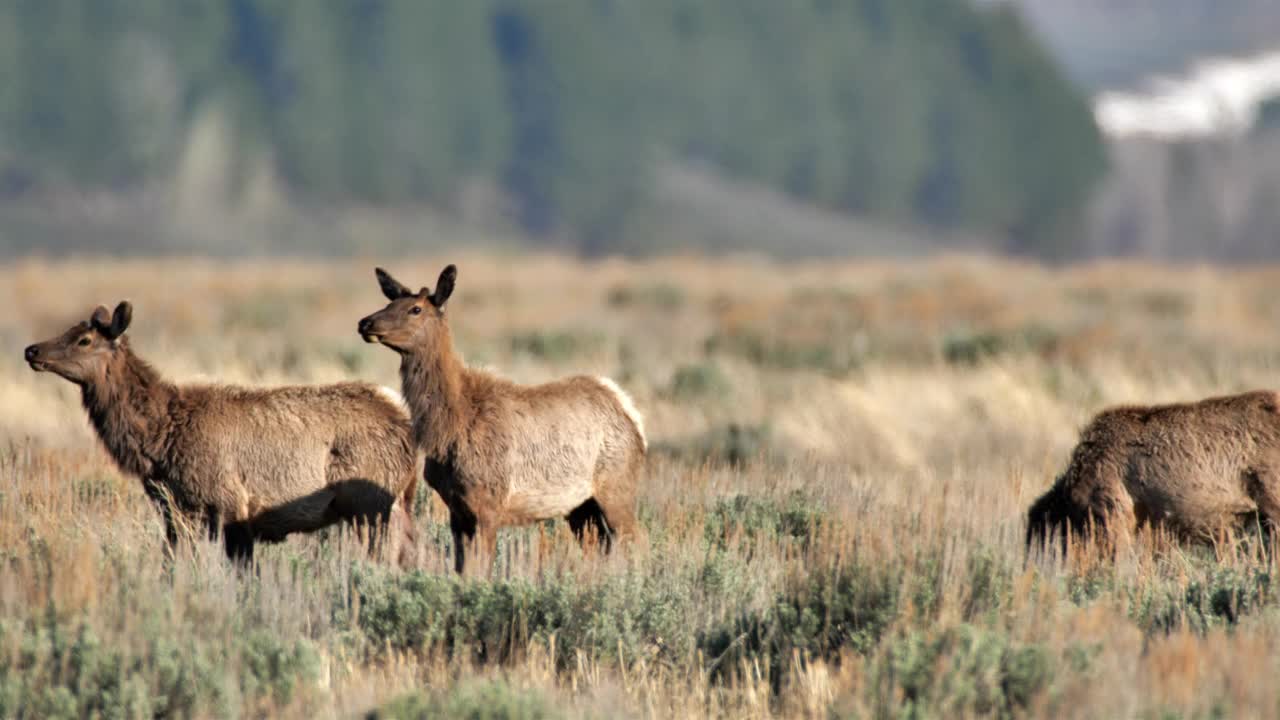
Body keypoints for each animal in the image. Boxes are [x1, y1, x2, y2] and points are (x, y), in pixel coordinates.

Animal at [23, 299, 419, 563]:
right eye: (69, 331)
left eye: (84, 340)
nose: (32, 350)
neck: (157, 443)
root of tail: (403, 417)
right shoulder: (174, 511)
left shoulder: (231, 504)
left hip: (372, 503)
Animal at [355, 263, 645, 571]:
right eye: (389, 303)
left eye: (415, 309)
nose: (366, 323)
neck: (447, 428)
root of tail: (629, 410)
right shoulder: (457, 510)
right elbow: (462, 569)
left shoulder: (488, 502)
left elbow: (481, 569)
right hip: (581, 506)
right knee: (599, 548)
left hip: (617, 486)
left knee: (637, 541)